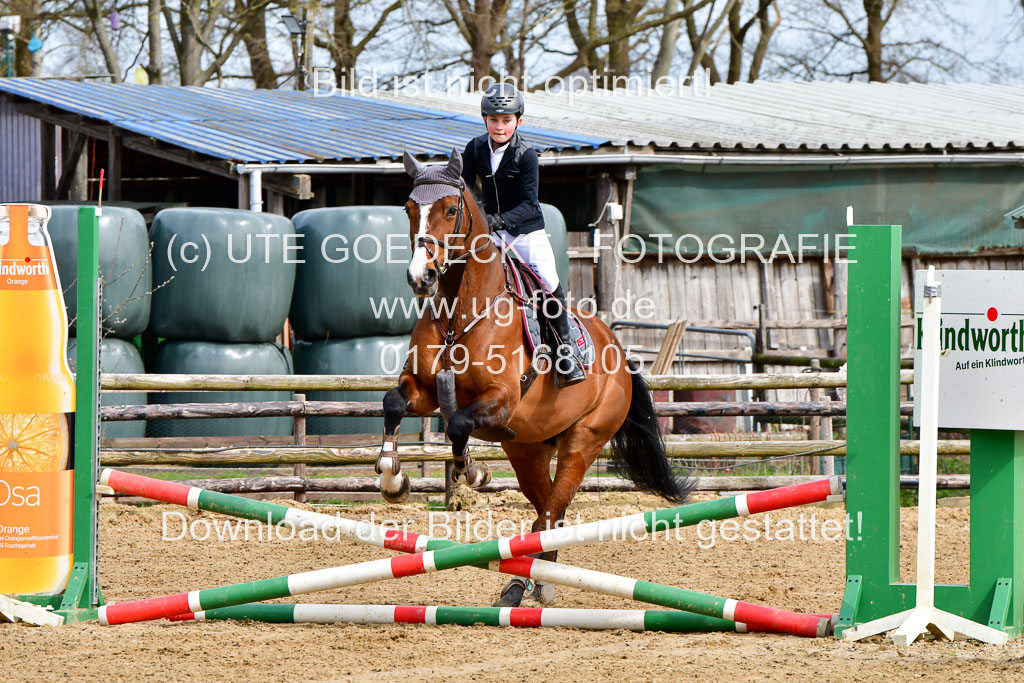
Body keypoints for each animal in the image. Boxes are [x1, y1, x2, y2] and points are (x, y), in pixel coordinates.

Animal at [378, 149, 696, 610]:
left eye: (451, 210)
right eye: (408, 209)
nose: (422, 278)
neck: (459, 312)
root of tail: (619, 354)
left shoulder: (501, 398)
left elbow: (458, 425)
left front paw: (475, 474)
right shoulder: (423, 390)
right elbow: (394, 404)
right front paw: (393, 478)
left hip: (583, 441)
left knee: (552, 509)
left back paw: (535, 582)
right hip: (528, 450)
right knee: (546, 510)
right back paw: (523, 581)